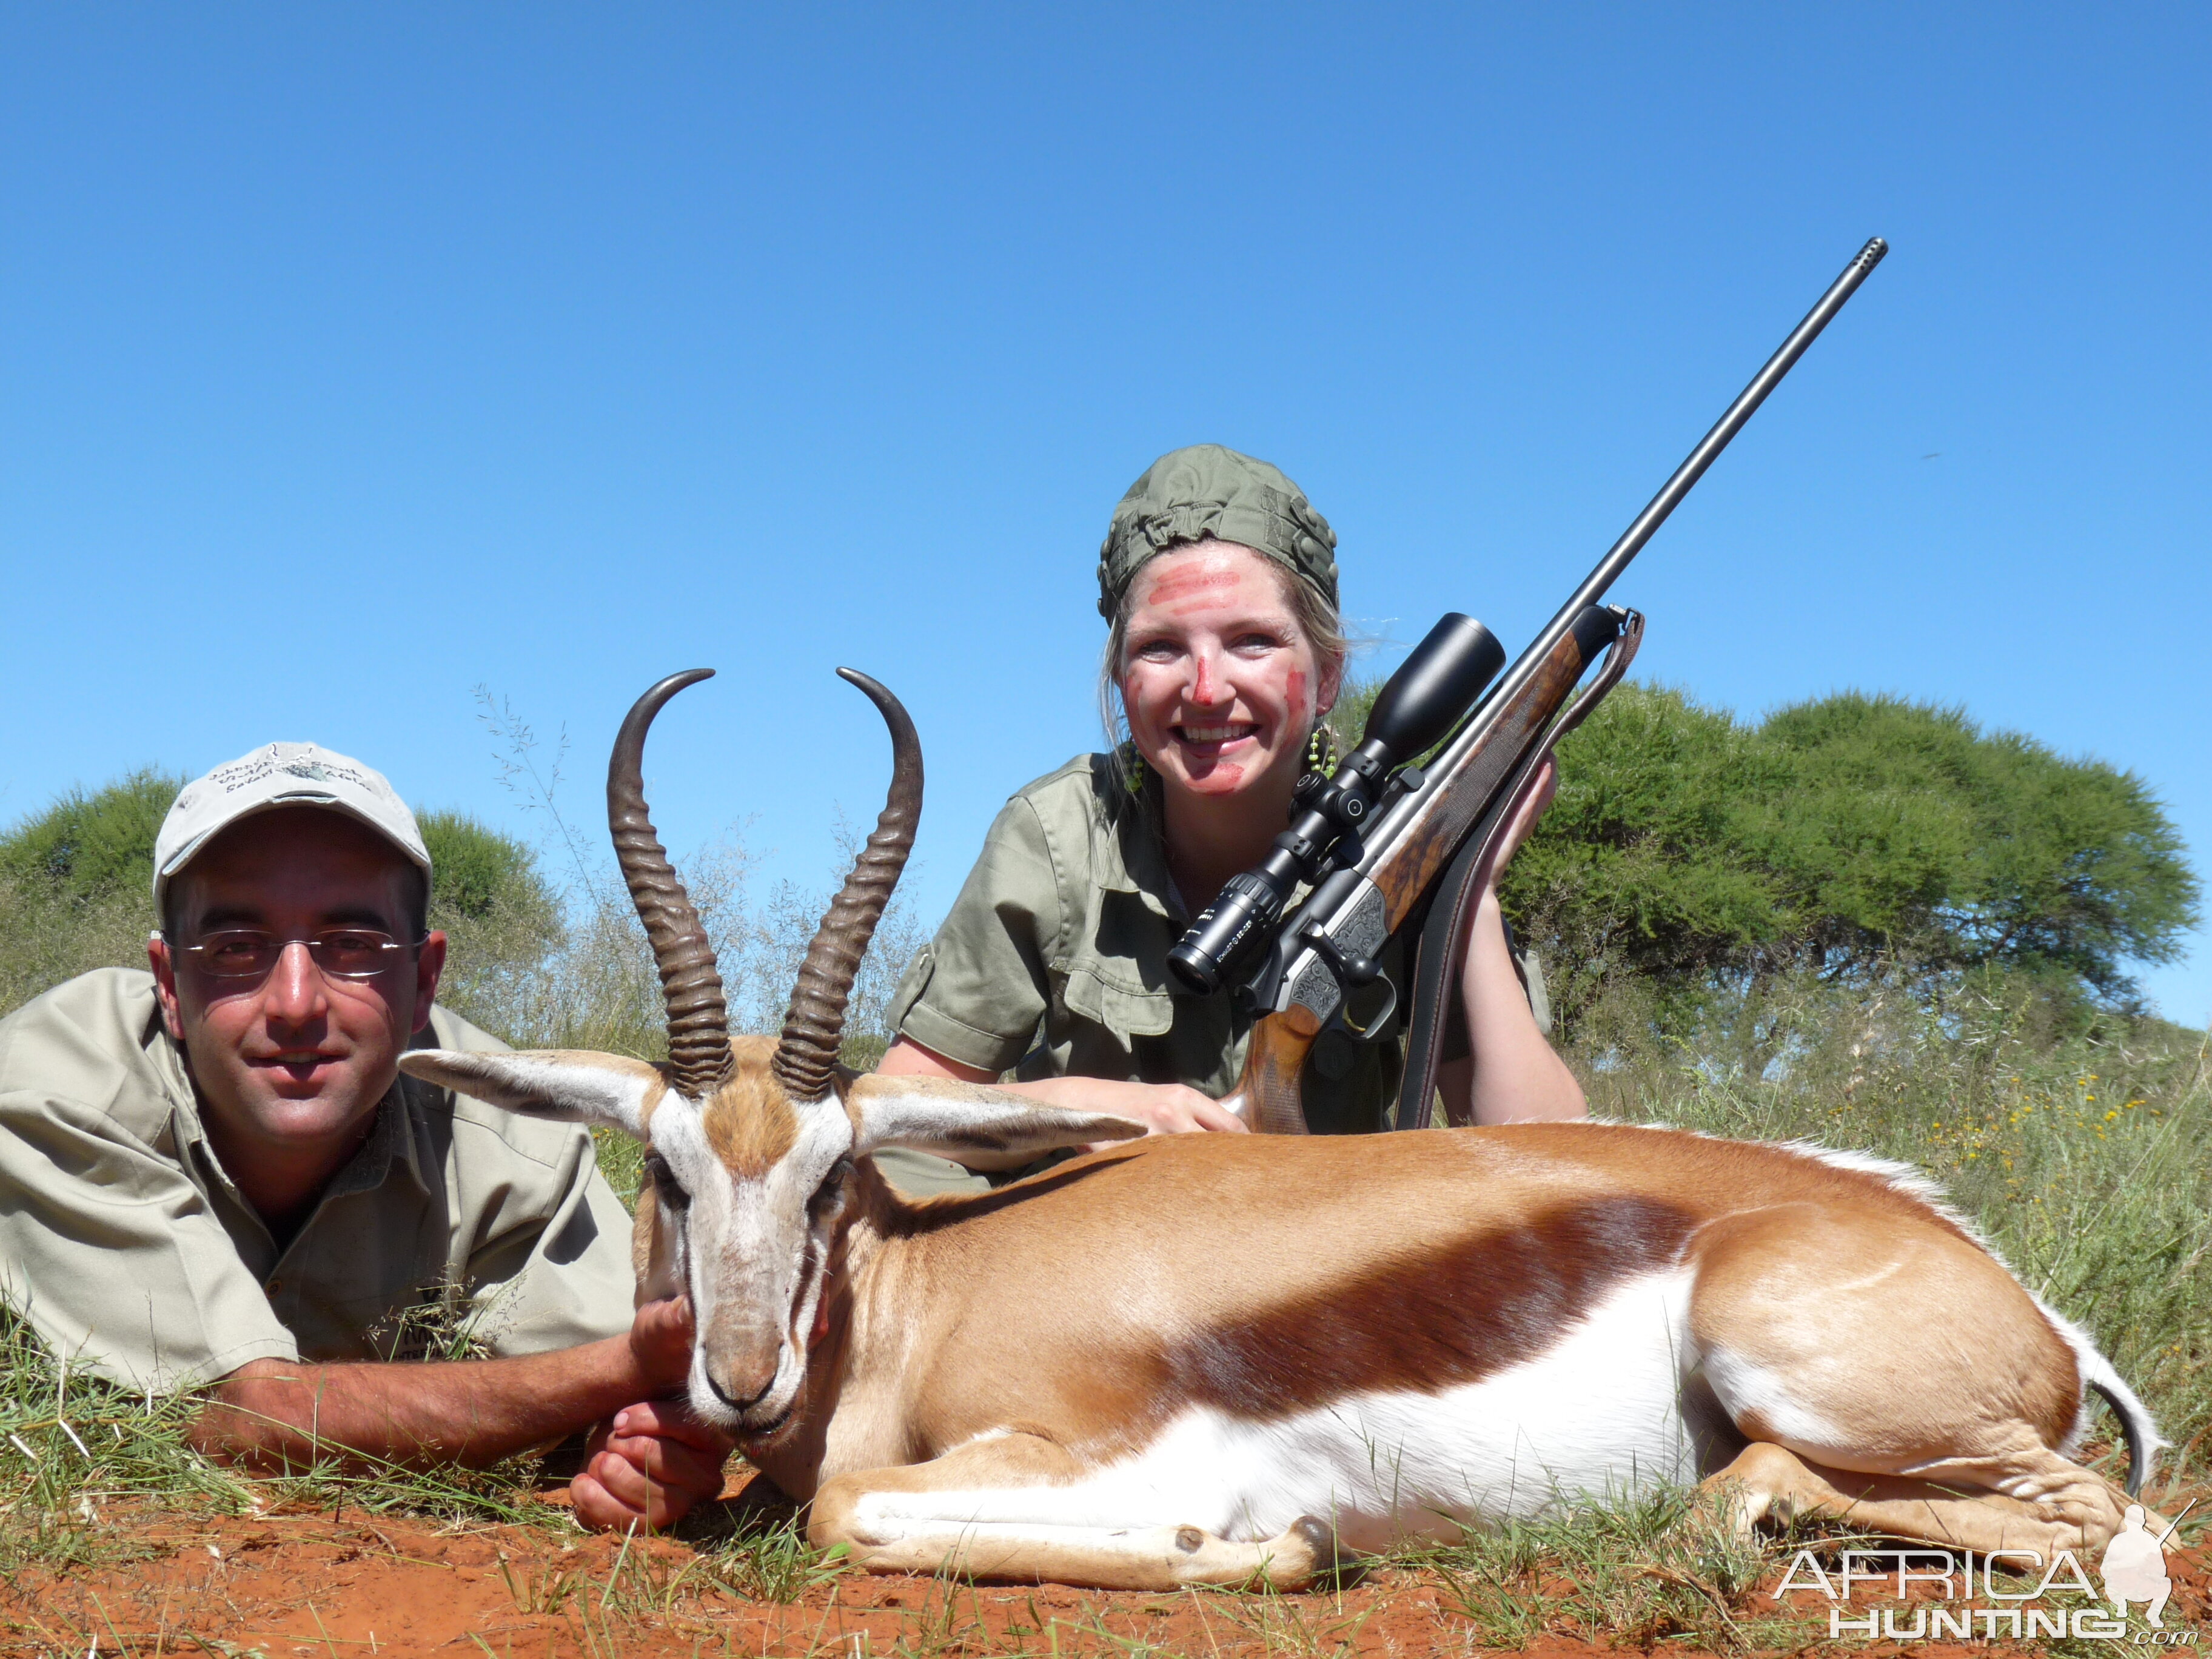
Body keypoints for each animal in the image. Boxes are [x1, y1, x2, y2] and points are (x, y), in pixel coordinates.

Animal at [398, 668, 2159, 1592]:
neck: (928, 1305)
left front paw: (1268, 1541)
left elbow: (854, 1510)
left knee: (2092, 1515)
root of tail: (2028, 1306)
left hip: (1792, 1364)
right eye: (669, 1168)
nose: (740, 1377)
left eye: (834, 1174)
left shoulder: (1097, 1446)